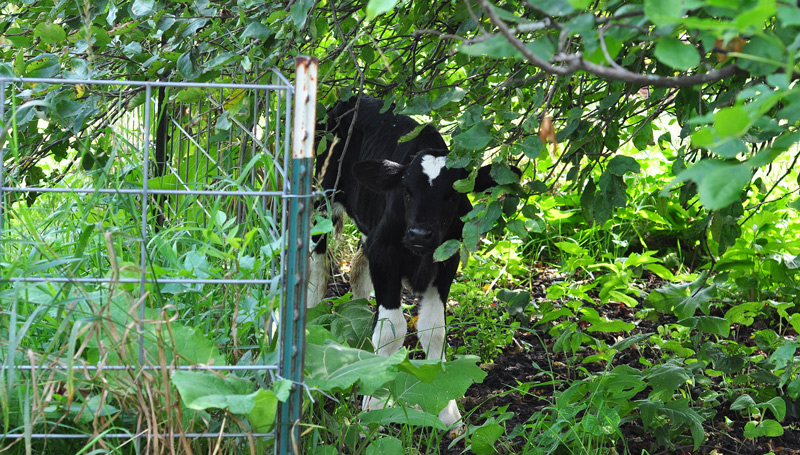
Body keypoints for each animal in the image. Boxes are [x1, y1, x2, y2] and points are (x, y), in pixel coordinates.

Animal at [307, 95, 510, 431]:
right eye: (406, 190)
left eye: (453, 195)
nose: (419, 234)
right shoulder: (385, 256)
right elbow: (392, 329)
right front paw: (374, 405)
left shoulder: (445, 265)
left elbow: (434, 329)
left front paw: (448, 413)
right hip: (322, 196)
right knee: (318, 264)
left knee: (358, 267)